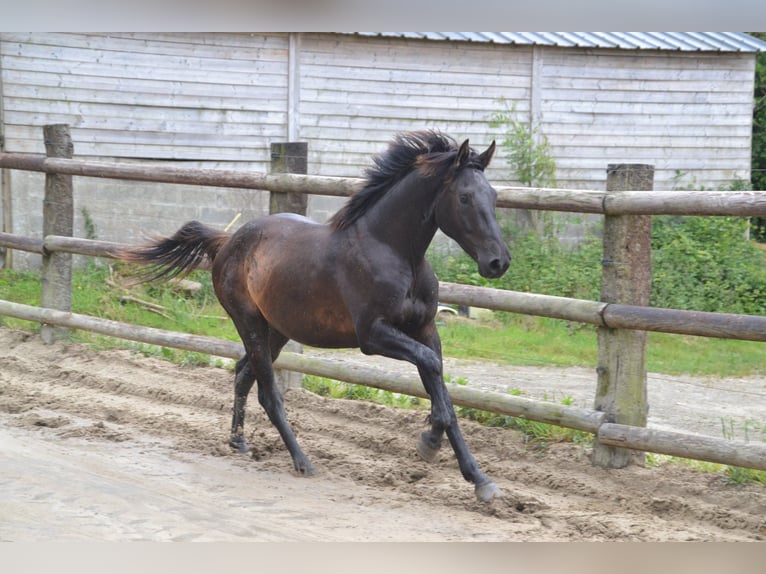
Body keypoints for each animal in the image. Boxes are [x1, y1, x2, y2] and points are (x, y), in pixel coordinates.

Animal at [123, 132, 512, 504]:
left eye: (493, 195)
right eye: (464, 197)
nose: (498, 262)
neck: (393, 252)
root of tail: (227, 242)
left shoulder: (426, 329)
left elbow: (440, 384)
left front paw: (480, 480)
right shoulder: (373, 335)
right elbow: (432, 371)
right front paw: (429, 441)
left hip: (276, 329)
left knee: (243, 372)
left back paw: (239, 442)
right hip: (249, 322)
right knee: (267, 392)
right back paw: (302, 461)